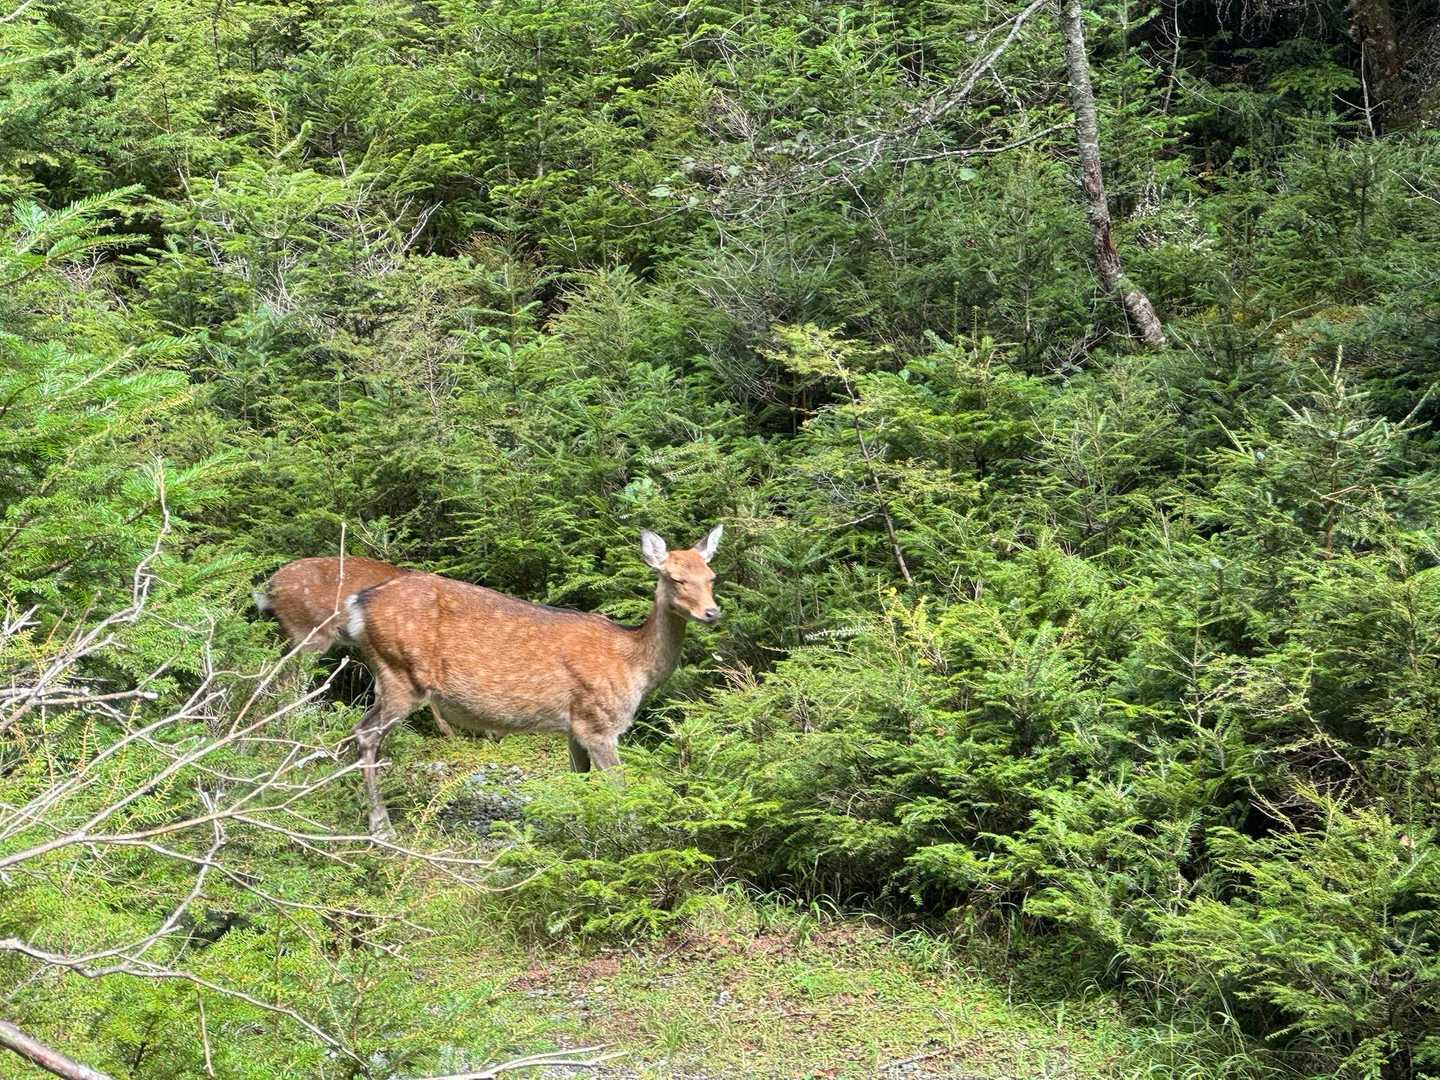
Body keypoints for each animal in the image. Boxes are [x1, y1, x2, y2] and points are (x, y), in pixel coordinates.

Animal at [343, 525, 724, 835]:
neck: (634, 665)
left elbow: (579, 779)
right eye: (675, 578)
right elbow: (618, 786)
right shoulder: (599, 722)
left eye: (711, 576)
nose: (712, 612)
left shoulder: (575, 725)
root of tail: (358, 606)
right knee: (365, 733)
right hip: (399, 673)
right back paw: (381, 826)